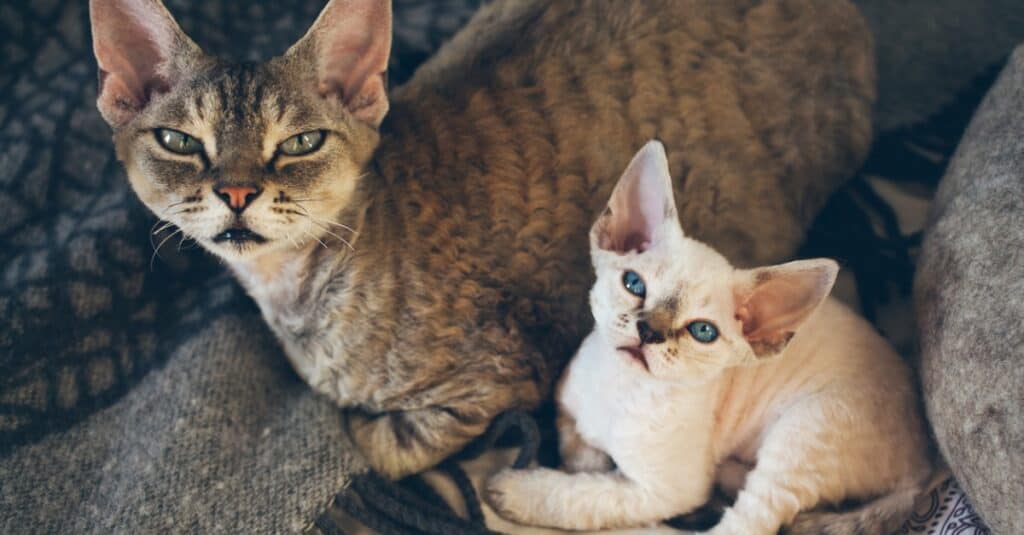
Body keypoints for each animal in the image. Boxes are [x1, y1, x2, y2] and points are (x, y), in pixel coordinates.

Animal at [88, 0, 876, 475]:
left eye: (301, 142)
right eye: (179, 141)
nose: (237, 191)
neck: (293, 295)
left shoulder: (497, 378)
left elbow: (377, 440)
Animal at [483, 139, 933, 528]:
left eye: (702, 331)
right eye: (634, 284)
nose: (649, 330)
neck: (620, 388)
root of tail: (926, 460)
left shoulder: (664, 493)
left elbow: (580, 495)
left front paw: (517, 491)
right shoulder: (567, 405)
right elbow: (577, 452)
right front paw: (587, 459)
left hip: (805, 429)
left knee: (750, 520)